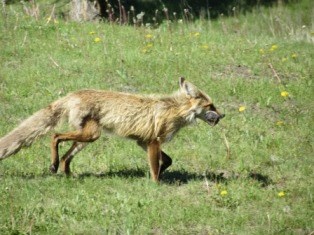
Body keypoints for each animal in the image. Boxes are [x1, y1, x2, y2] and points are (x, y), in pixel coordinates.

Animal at [1, 77, 224, 182]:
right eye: (210, 106)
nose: (222, 116)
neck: (174, 110)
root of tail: (72, 94)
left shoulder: (143, 141)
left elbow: (167, 161)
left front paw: (160, 175)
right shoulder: (153, 141)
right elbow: (155, 167)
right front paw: (156, 185)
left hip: (85, 139)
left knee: (66, 156)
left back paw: (68, 175)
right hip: (91, 135)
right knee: (55, 137)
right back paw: (54, 165)